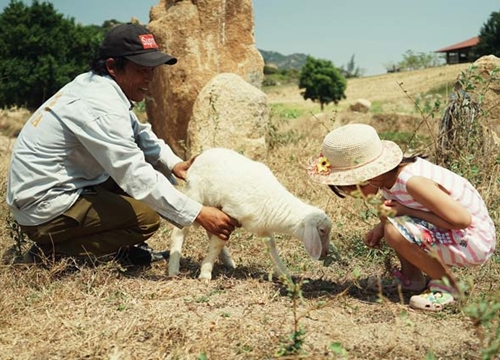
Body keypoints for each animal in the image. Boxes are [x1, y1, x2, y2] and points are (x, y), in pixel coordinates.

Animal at [168, 148, 332, 280]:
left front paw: (284, 274)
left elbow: (271, 247)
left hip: (213, 204)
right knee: (180, 230)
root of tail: (200, 156)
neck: (273, 199)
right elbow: (218, 242)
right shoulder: (230, 214)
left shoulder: (263, 226)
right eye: (322, 230)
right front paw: (205, 274)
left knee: (210, 230)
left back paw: (228, 261)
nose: (325, 253)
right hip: (194, 194)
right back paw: (173, 267)